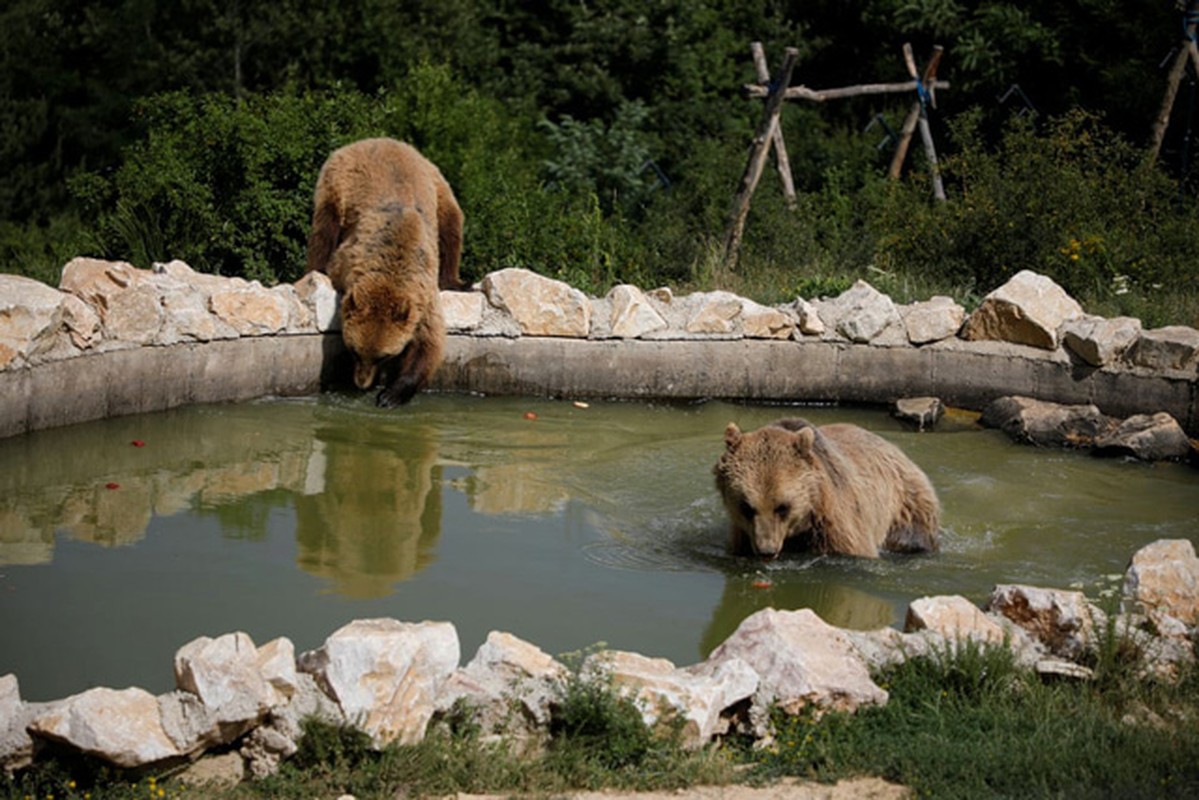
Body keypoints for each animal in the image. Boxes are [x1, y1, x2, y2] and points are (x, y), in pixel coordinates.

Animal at [304, 136, 462, 407]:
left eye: (384, 356)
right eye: (354, 350)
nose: (362, 383)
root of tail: (379, 139)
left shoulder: (423, 296)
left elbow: (428, 344)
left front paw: (390, 395)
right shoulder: (347, 261)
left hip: (437, 185)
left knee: (452, 226)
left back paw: (453, 281)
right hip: (336, 182)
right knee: (324, 230)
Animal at [714, 419, 940, 556]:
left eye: (783, 507)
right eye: (746, 507)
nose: (766, 550)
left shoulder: (836, 527)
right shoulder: (744, 536)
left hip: (905, 505)